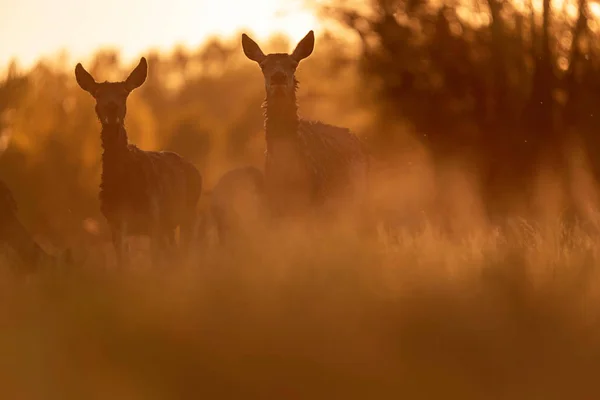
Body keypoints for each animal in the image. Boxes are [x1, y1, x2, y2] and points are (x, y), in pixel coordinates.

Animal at [74, 57, 202, 268]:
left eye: (124, 92)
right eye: (97, 94)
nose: (111, 108)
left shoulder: (153, 218)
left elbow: (154, 261)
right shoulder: (115, 222)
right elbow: (123, 264)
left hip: (188, 213)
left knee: (185, 251)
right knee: (175, 252)